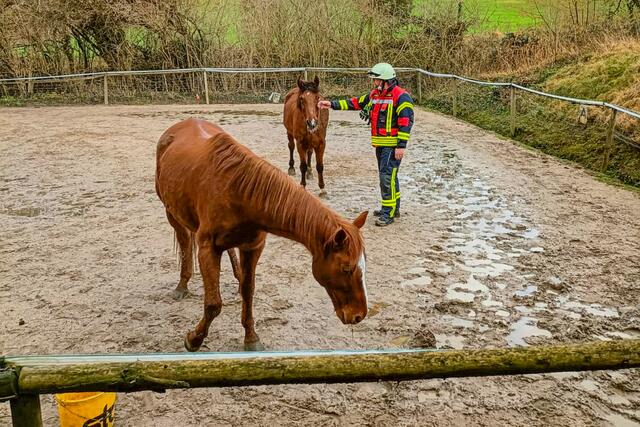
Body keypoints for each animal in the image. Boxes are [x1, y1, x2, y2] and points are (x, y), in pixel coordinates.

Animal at [154, 118, 370, 352]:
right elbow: (213, 304)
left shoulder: (252, 248)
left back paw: (236, 274)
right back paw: (182, 285)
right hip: (171, 213)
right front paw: (194, 339)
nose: (359, 315)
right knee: (185, 243)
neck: (239, 192)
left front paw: (251, 337)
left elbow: (248, 292)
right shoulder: (207, 250)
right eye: (346, 268)